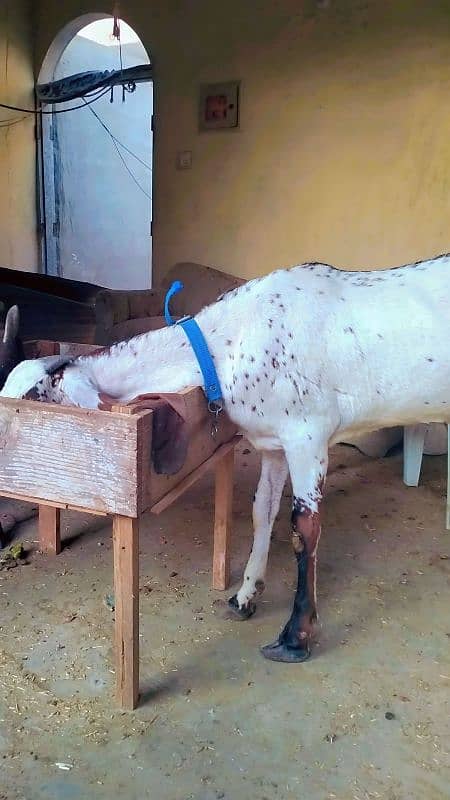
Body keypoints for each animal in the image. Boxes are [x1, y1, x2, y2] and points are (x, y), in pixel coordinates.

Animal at [1, 256, 448, 664]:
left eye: (32, 403)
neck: (228, 343)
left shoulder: (308, 436)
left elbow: (304, 529)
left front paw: (295, 636)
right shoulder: (273, 443)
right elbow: (262, 512)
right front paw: (245, 596)